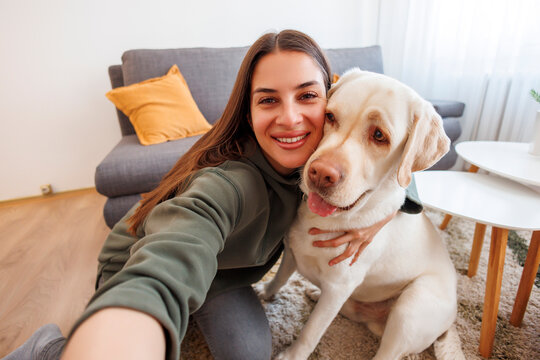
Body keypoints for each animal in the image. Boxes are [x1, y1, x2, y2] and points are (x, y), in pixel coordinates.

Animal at [258, 69, 464, 358]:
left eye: (379, 135)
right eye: (330, 116)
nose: (320, 174)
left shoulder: (338, 288)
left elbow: (311, 332)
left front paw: (292, 354)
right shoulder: (292, 253)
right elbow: (279, 278)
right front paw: (265, 292)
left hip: (411, 306)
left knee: (387, 351)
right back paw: (314, 293)